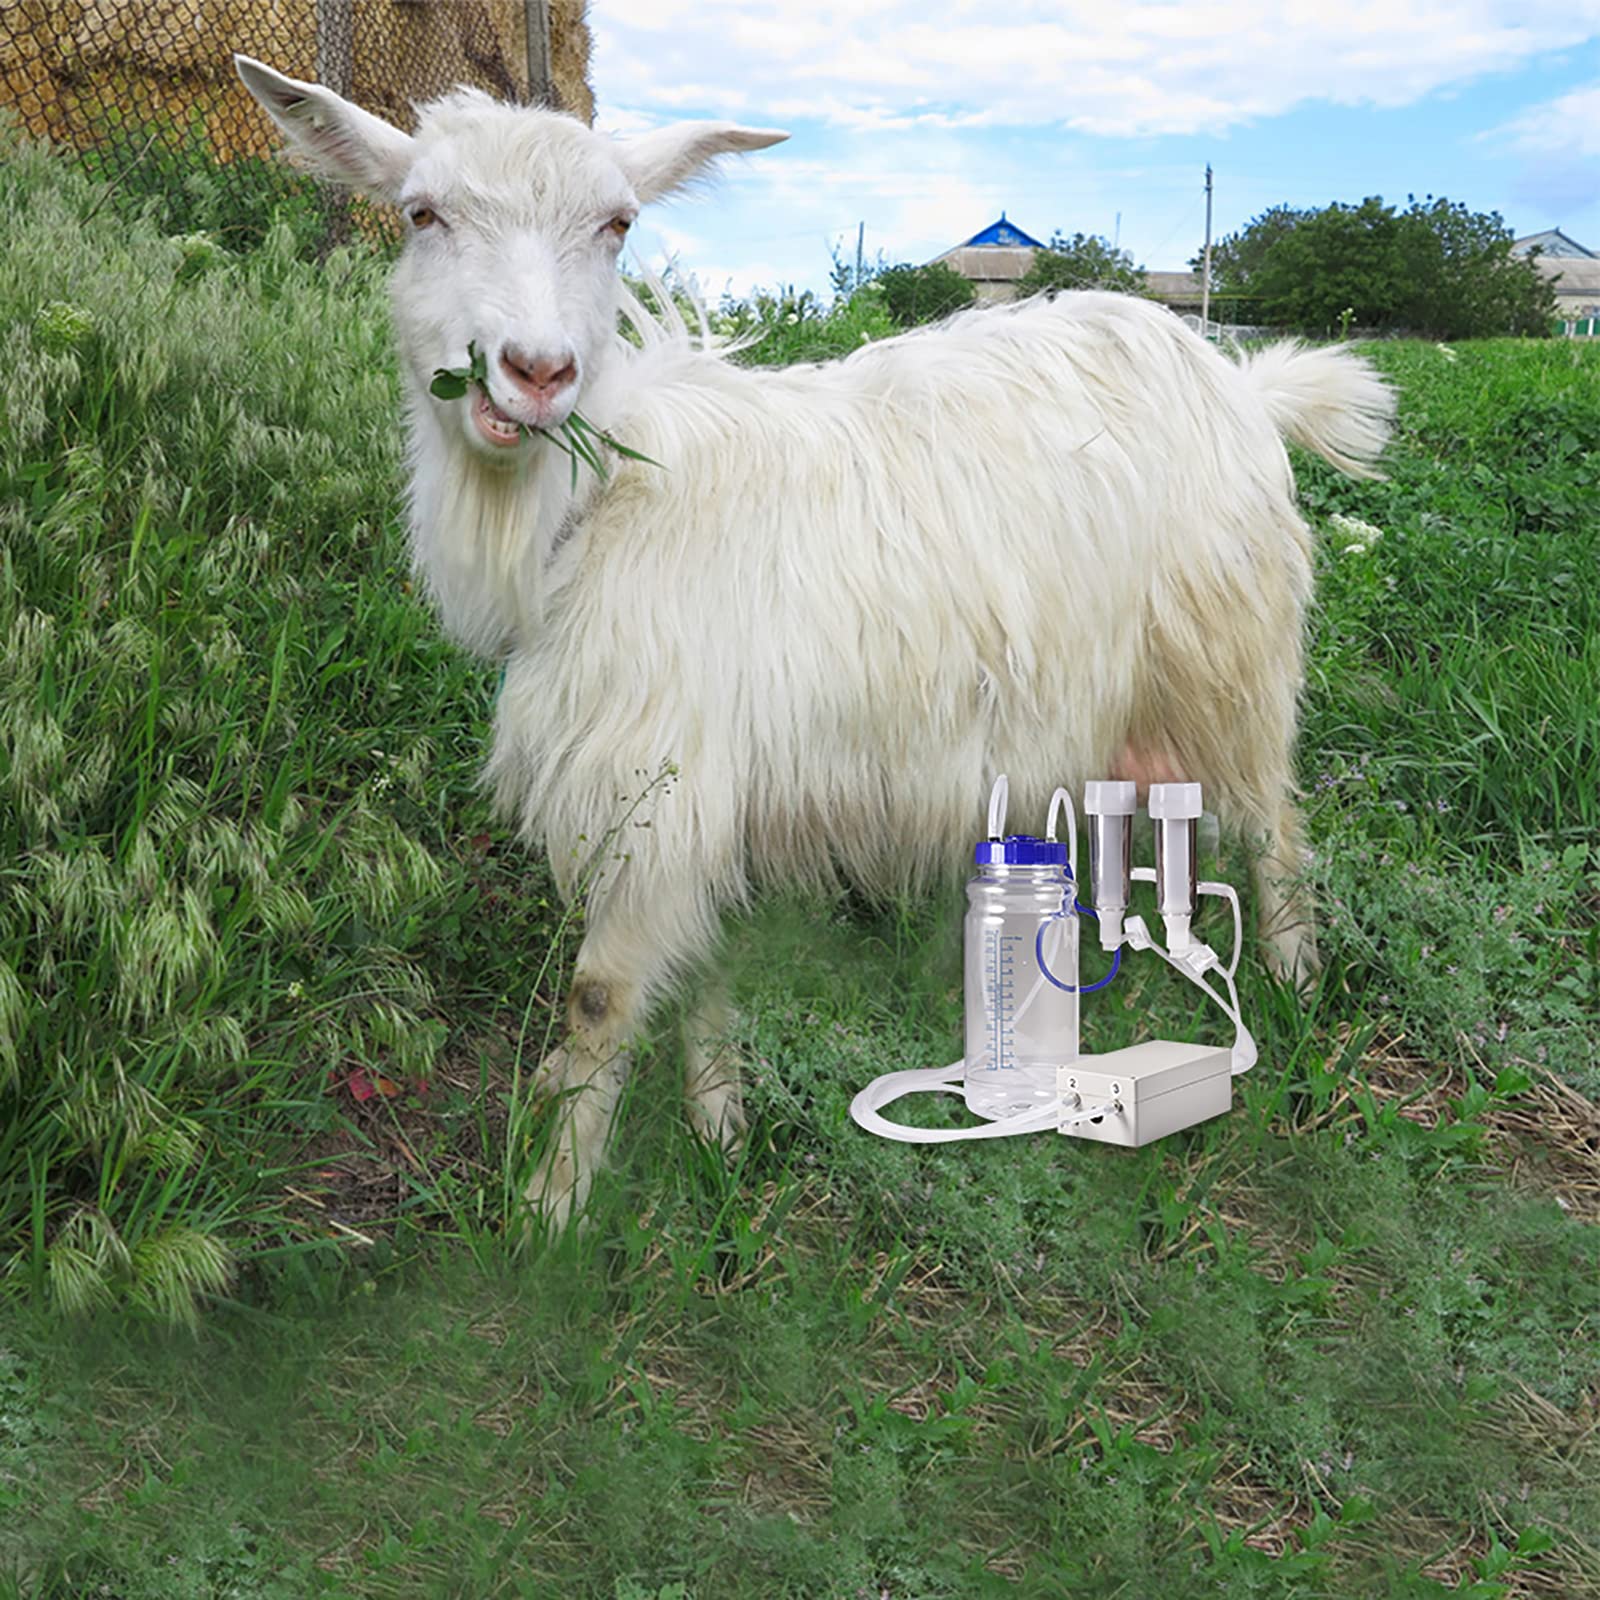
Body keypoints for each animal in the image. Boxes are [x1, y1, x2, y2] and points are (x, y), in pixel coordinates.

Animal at [236, 56, 1396, 1231]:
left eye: (617, 224)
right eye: (421, 213)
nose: (537, 371)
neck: (594, 506)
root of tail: (1243, 382)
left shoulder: (656, 782)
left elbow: (599, 1000)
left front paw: (549, 1208)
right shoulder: (692, 796)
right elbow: (696, 971)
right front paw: (718, 1132)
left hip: (1230, 662)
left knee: (1275, 829)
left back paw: (1294, 996)